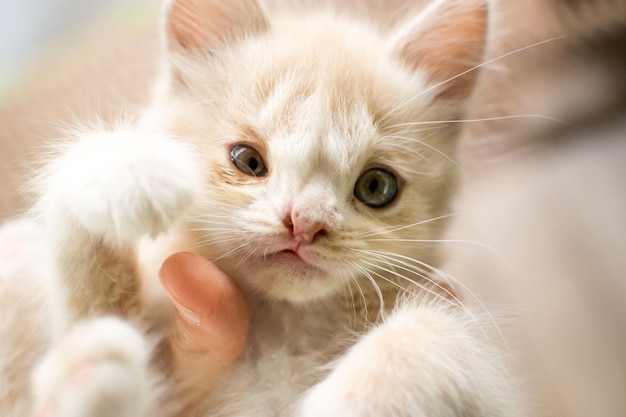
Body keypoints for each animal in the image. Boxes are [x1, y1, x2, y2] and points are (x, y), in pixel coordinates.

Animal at [0, 0, 516, 416]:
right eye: (247, 160)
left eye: (376, 186)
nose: (305, 222)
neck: (286, 325)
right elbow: (87, 301)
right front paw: (128, 168)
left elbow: (440, 330)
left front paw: (360, 397)